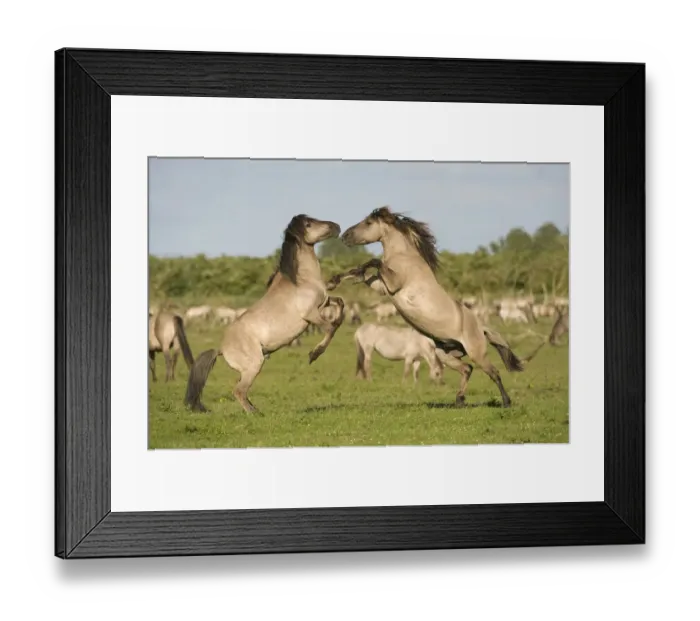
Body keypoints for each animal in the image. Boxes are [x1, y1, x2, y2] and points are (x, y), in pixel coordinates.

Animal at [184, 215, 345, 414]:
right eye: (309, 224)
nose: (336, 226)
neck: (302, 280)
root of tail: (221, 349)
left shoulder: (324, 302)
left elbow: (340, 306)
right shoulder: (310, 314)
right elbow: (330, 329)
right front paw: (314, 354)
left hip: (248, 370)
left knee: (241, 390)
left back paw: (256, 410)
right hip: (255, 365)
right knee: (238, 391)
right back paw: (255, 414)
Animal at [328, 206, 525, 408]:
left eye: (368, 223)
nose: (344, 236)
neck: (404, 257)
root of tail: (482, 327)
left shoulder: (394, 284)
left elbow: (374, 261)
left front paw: (349, 274)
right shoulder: (383, 287)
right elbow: (362, 272)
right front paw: (334, 280)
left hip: (476, 353)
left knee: (494, 373)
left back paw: (506, 402)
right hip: (445, 353)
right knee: (467, 369)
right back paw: (459, 400)